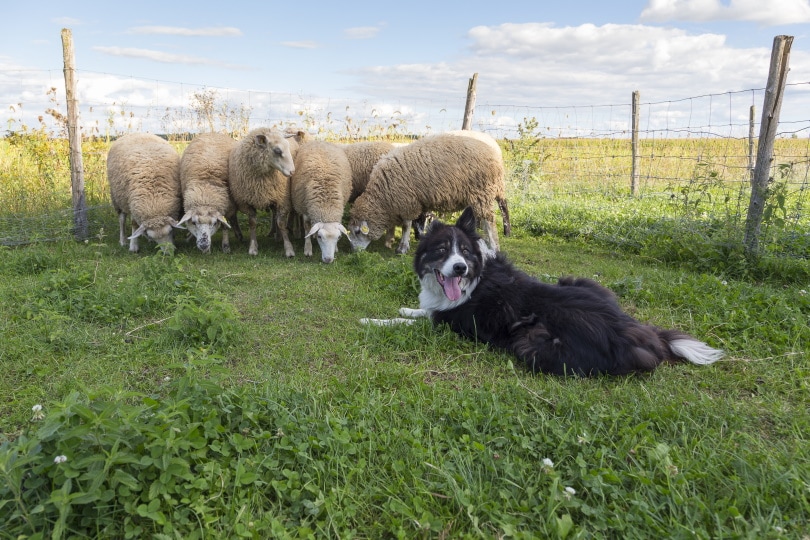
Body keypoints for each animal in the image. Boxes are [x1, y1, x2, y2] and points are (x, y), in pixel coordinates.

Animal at [226, 127, 304, 256]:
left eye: (288, 147)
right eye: (277, 150)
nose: (292, 171)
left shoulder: (282, 200)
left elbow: (281, 223)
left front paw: (288, 248)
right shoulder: (247, 202)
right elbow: (252, 223)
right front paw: (253, 247)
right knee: (274, 214)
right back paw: (276, 235)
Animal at [344, 133, 508, 255]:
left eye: (357, 231)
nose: (353, 252)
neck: (383, 197)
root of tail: (494, 153)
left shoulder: (408, 201)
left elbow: (406, 225)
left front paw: (402, 247)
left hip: (482, 192)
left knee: (490, 223)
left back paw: (495, 248)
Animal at [360, 207, 720, 376]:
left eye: (463, 251)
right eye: (441, 251)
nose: (459, 268)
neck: (474, 280)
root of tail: (633, 331)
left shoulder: (452, 325)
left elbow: (413, 320)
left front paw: (371, 321)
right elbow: (422, 309)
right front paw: (407, 307)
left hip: (531, 345)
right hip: (578, 281)